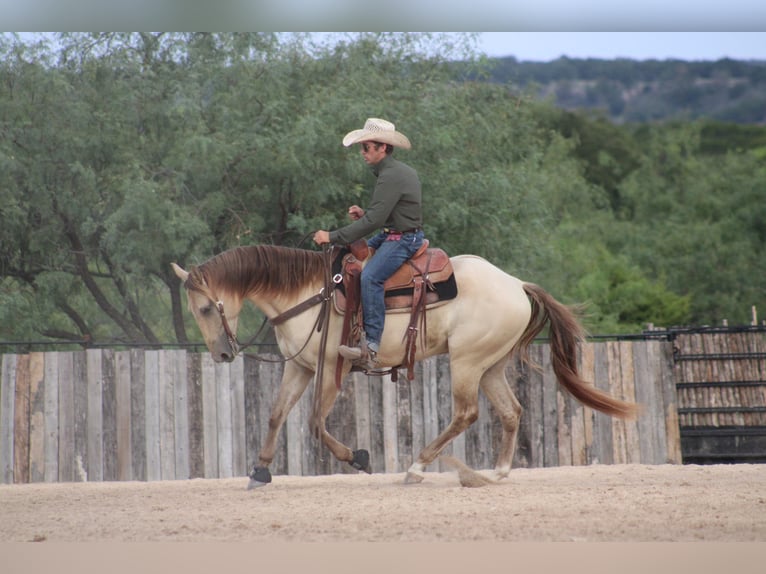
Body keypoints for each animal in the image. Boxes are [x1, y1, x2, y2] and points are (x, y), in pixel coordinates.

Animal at [171, 244, 638, 488]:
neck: (307, 294)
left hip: (467, 362)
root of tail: (516, 285)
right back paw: (498, 472)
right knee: (511, 412)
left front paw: (358, 458)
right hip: (490, 366)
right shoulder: (299, 367)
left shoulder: (329, 368)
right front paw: (260, 471)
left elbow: (315, 423)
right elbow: (276, 414)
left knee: (466, 413)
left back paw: (417, 466)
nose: (222, 355)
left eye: (205, 308)